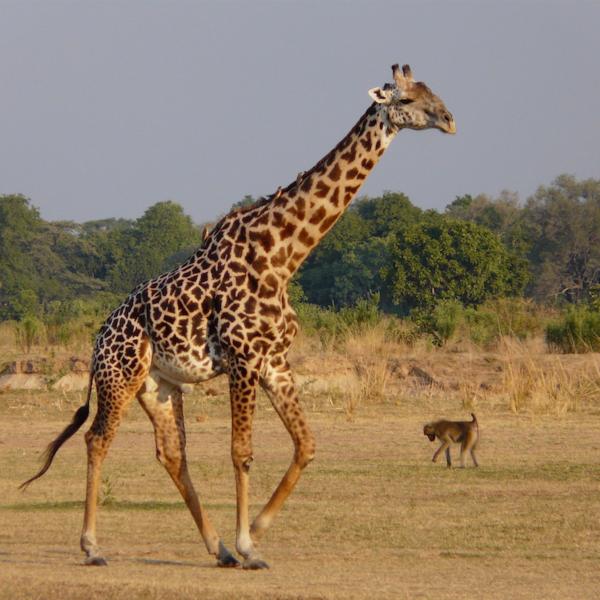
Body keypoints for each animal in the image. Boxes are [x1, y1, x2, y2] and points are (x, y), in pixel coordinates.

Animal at [21, 63, 458, 568]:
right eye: (405, 100)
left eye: (431, 90)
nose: (449, 120)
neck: (283, 256)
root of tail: (96, 341)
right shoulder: (244, 359)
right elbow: (242, 452)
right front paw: (250, 544)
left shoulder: (275, 361)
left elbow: (306, 445)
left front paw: (256, 533)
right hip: (120, 376)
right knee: (97, 440)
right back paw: (93, 547)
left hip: (159, 385)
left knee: (172, 454)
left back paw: (220, 548)